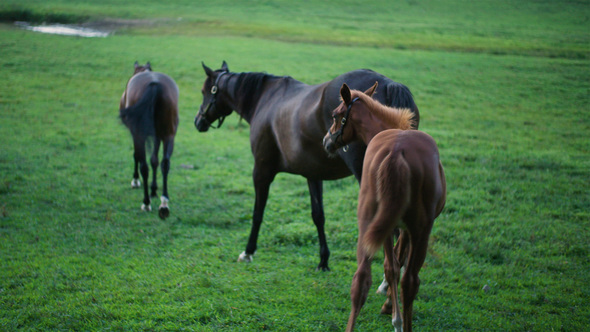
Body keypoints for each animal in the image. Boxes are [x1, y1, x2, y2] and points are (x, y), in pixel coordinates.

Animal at [194, 61, 420, 272]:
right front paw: (323, 260)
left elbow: (258, 212)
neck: (266, 98)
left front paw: (248, 252)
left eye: (205, 91)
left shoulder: (261, 169)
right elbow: (318, 216)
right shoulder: (313, 174)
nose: (198, 121)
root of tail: (389, 84)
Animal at [324, 81, 448, 332]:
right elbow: (398, 263)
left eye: (335, 115)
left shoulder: (388, 226)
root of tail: (396, 151)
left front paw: (390, 306)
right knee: (410, 281)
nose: (326, 141)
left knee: (361, 279)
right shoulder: (406, 229)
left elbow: (392, 267)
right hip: (421, 230)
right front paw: (391, 308)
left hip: (368, 222)